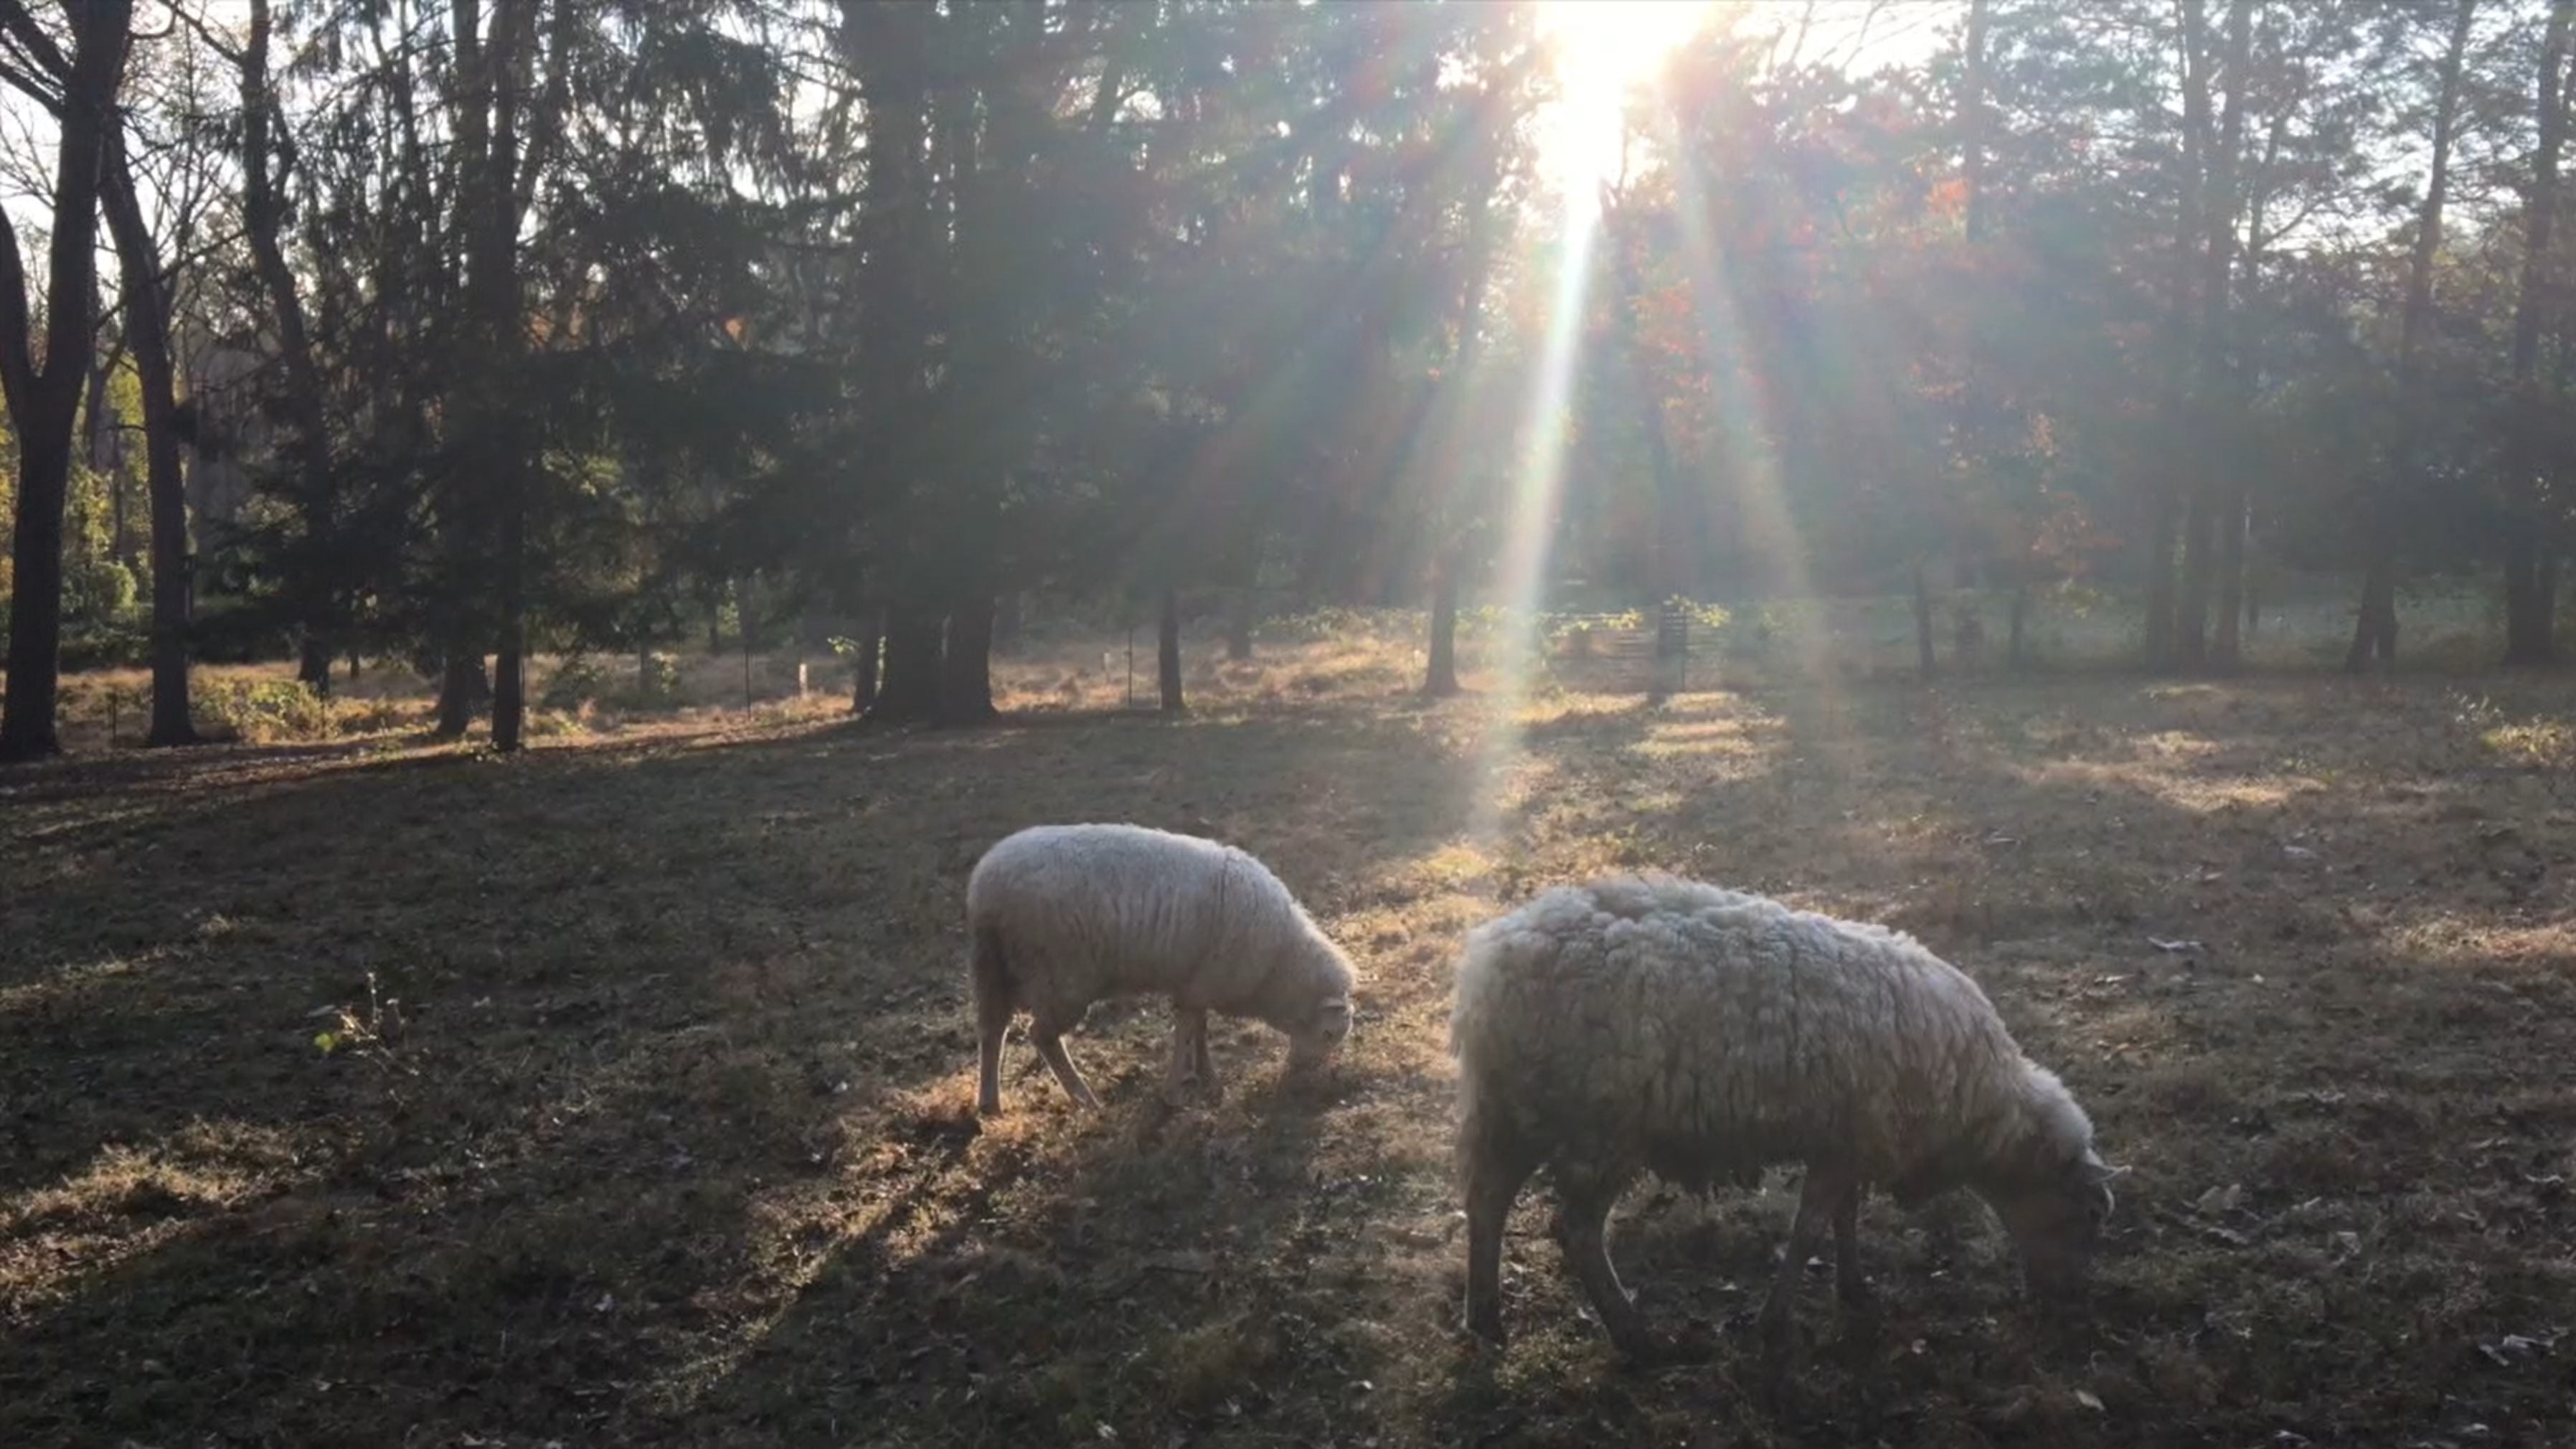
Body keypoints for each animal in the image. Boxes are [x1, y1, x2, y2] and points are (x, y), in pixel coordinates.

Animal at [966, 822, 1357, 1115]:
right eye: (1328, 1034)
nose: (1302, 1077)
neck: (1278, 964)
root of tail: (987, 888)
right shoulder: (1199, 986)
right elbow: (1186, 1032)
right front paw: (1175, 1093)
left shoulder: (1197, 984)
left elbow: (1200, 1028)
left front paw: (1207, 1078)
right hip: (1061, 978)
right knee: (1042, 1036)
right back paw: (1086, 1100)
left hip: (992, 968)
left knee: (992, 1030)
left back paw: (990, 1104)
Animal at [1449, 873, 2120, 1365]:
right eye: (2087, 1217)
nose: (2068, 1308)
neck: (1978, 1103)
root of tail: (1494, 955)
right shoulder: (1841, 1146)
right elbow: (1808, 1233)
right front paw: (1772, 1323)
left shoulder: (1848, 1141)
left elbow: (1845, 1217)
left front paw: (1854, 1288)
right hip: (1598, 1126)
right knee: (1576, 1231)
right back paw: (1634, 1336)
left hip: (1512, 1109)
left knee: (1486, 1203)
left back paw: (1485, 1319)